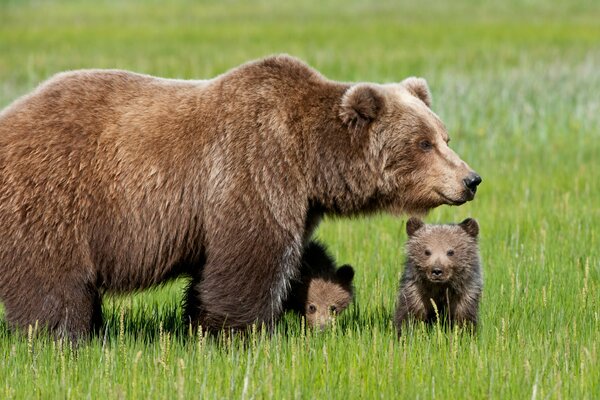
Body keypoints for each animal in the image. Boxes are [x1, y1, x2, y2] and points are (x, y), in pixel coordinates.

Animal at [0, 54, 480, 340]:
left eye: (444, 136)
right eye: (423, 143)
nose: (471, 179)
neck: (310, 158)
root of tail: (11, 114)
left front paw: (199, 323)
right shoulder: (253, 167)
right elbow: (250, 257)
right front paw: (239, 332)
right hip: (55, 198)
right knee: (52, 279)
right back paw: (63, 335)